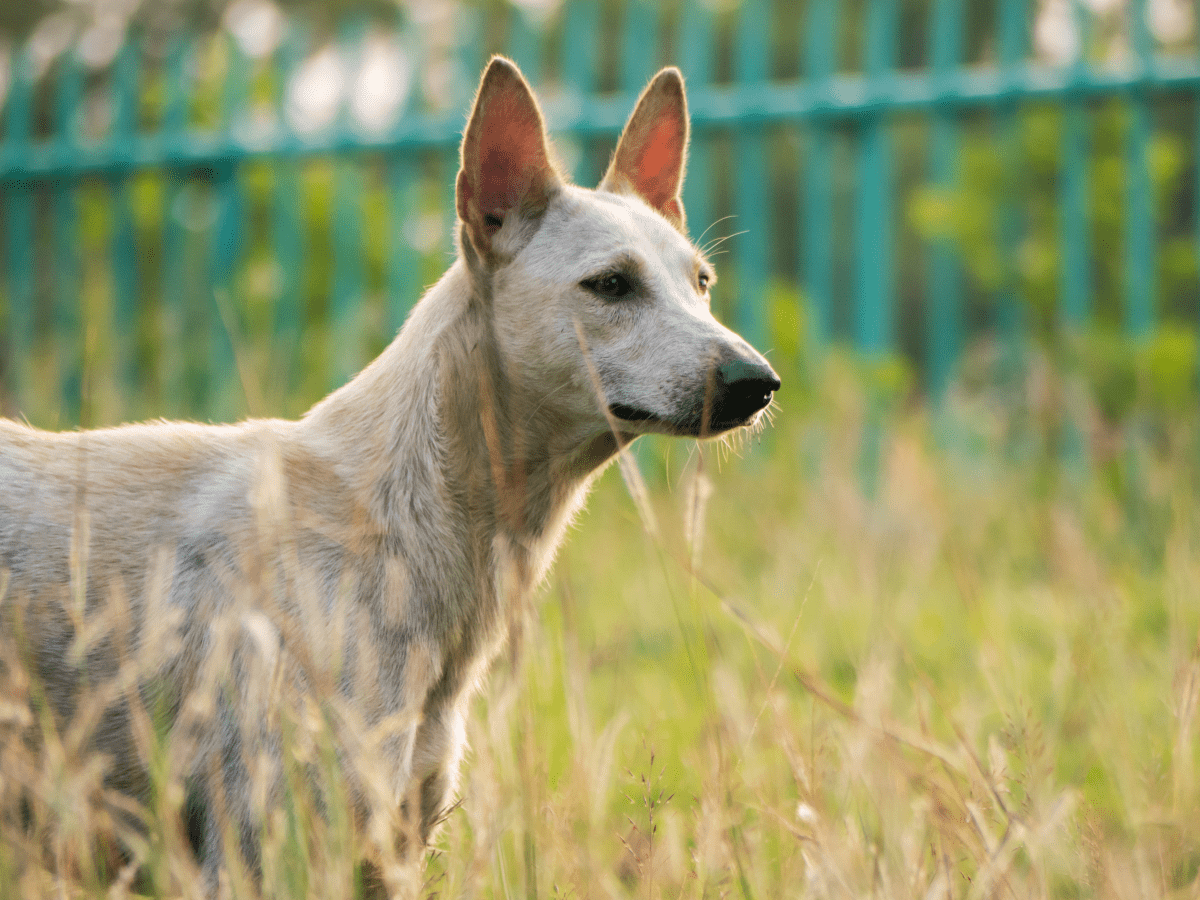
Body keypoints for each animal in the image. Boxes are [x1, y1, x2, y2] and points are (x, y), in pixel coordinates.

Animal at [0, 58, 782, 897]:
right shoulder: (258, 856)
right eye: (610, 285)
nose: (759, 382)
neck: (401, 522)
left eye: (701, 282)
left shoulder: (391, 850)